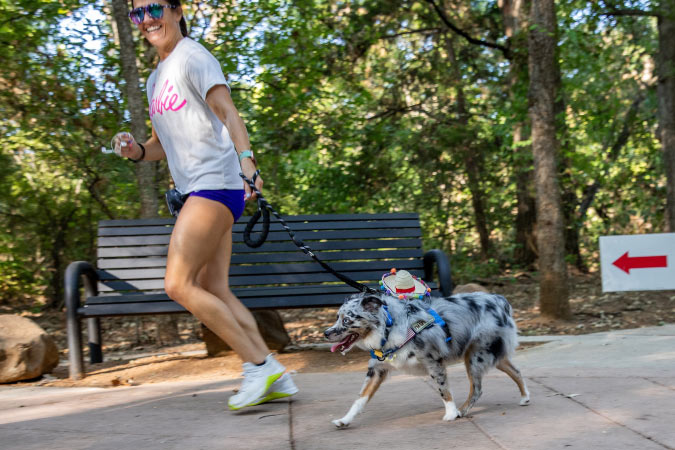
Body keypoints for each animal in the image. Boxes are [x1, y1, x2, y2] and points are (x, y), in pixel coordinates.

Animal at [324, 290, 532, 428]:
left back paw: (461, 411)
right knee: (516, 371)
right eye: (337, 317)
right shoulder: (377, 369)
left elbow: (443, 389)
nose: (326, 333)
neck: (390, 326)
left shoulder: (433, 361)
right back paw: (525, 397)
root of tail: (499, 299)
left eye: (347, 320)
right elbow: (360, 398)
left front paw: (450, 413)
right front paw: (345, 419)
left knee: (477, 389)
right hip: (490, 354)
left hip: (475, 356)